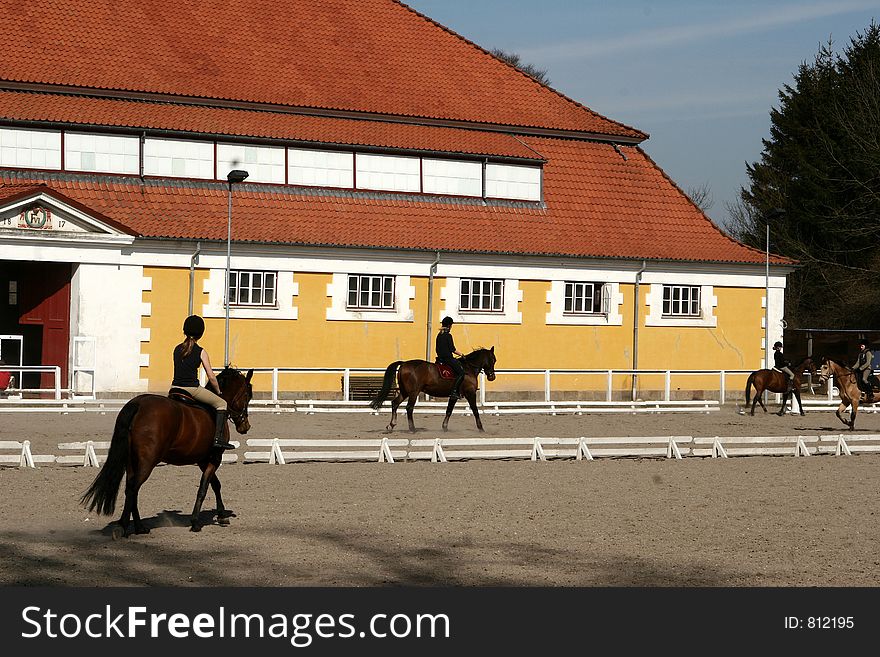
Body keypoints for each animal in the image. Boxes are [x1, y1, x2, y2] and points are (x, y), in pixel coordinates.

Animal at [81, 366, 253, 536]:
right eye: (247, 395)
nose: (245, 426)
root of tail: (138, 403)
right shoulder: (214, 458)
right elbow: (205, 488)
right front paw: (196, 522)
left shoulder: (203, 460)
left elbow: (215, 484)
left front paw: (221, 515)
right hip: (147, 462)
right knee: (132, 489)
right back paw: (123, 526)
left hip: (131, 463)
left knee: (131, 489)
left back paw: (139, 527)